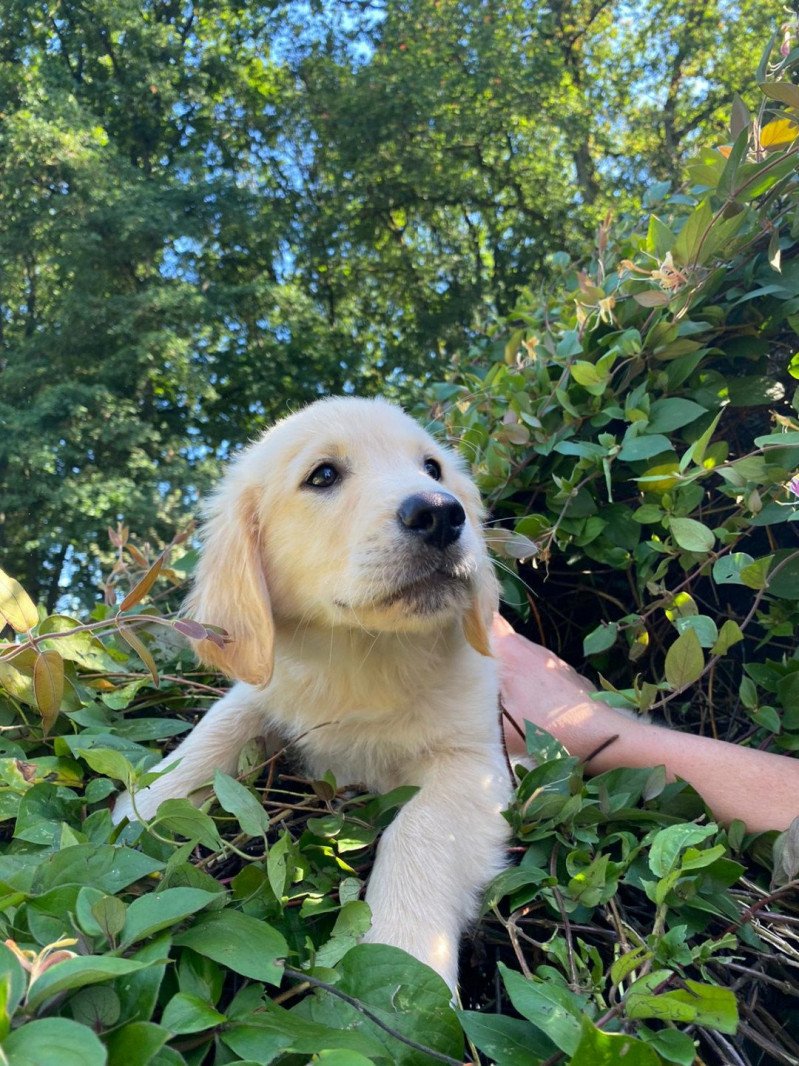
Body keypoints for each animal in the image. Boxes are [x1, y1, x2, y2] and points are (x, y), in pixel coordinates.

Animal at [112, 400, 513, 989]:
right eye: (323, 475)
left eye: (433, 469)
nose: (442, 512)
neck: (363, 655)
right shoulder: (265, 688)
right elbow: (216, 731)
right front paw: (138, 808)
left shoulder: (475, 759)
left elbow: (420, 829)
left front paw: (405, 954)